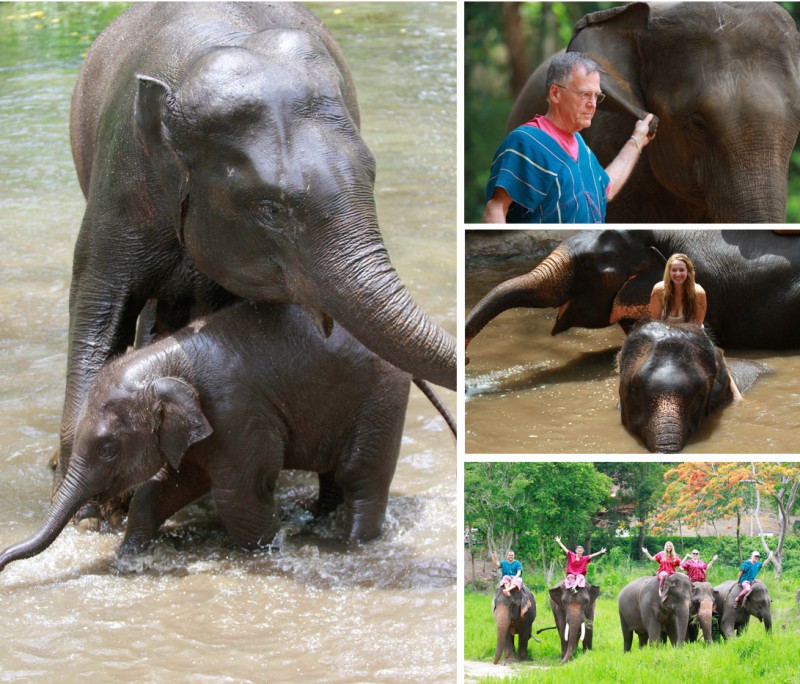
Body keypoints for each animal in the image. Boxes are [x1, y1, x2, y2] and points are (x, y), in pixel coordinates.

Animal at [0, 300, 432, 572]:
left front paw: (268, 551)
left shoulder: (238, 413)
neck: (169, 359)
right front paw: (129, 558)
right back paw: (316, 525)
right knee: (333, 476)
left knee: (361, 476)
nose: (3, 562)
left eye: (108, 448)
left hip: (381, 400)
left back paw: (350, 544)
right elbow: (170, 485)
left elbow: (239, 494)